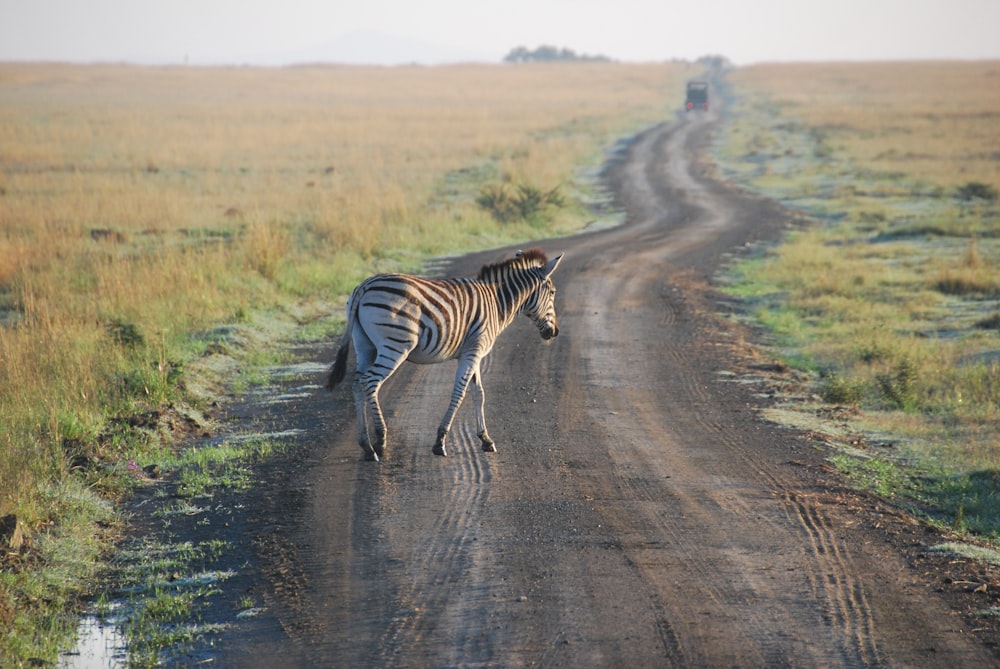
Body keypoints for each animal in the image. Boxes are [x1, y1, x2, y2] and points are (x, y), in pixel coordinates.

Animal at [328, 248, 564, 462]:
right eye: (553, 293)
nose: (555, 333)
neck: (497, 303)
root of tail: (365, 285)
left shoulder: (472, 352)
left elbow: (479, 393)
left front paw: (485, 439)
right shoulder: (474, 351)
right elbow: (459, 394)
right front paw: (440, 442)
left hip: (364, 344)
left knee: (357, 384)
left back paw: (366, 446)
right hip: (395, 345)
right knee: (371, 382)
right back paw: (381, 440)